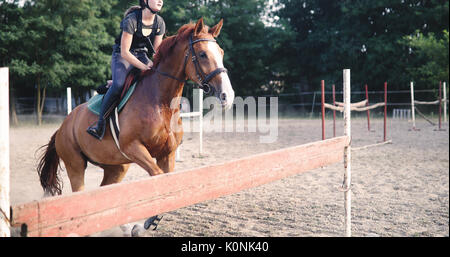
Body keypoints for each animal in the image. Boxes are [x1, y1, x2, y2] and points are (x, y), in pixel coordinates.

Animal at [37, 17, 236, 194]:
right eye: (202, 54)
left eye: (221, 52)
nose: (227, 95)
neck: (161, 103)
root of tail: (63, 126)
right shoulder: (133, 147)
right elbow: (157, 176)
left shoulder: (167, 154)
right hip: (75, 165)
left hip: (116, 167)